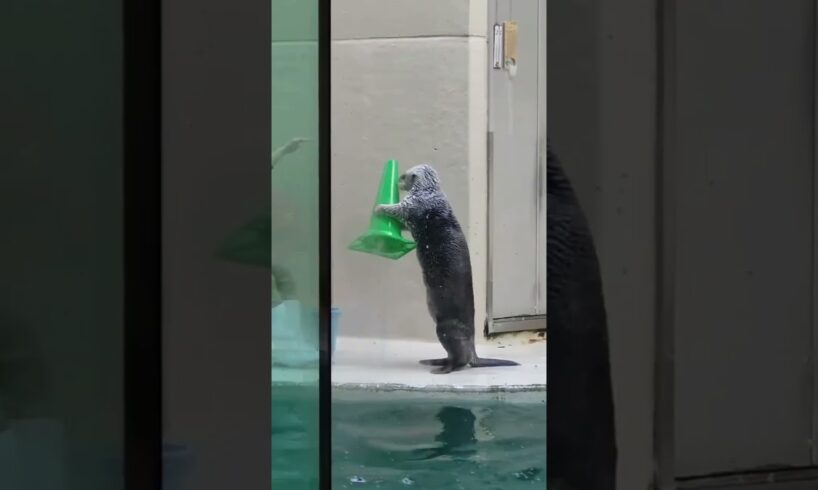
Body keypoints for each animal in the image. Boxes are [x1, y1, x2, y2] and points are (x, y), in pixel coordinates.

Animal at [375, 164, 519, 374]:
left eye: (402, 176)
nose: (397, 182)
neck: (431, 193)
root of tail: (473, 348)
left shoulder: (415, 205)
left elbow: (400, 211)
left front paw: (379, 207)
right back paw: (434, 361)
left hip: (446, 329)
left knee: (461, 360)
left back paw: (444, 369)